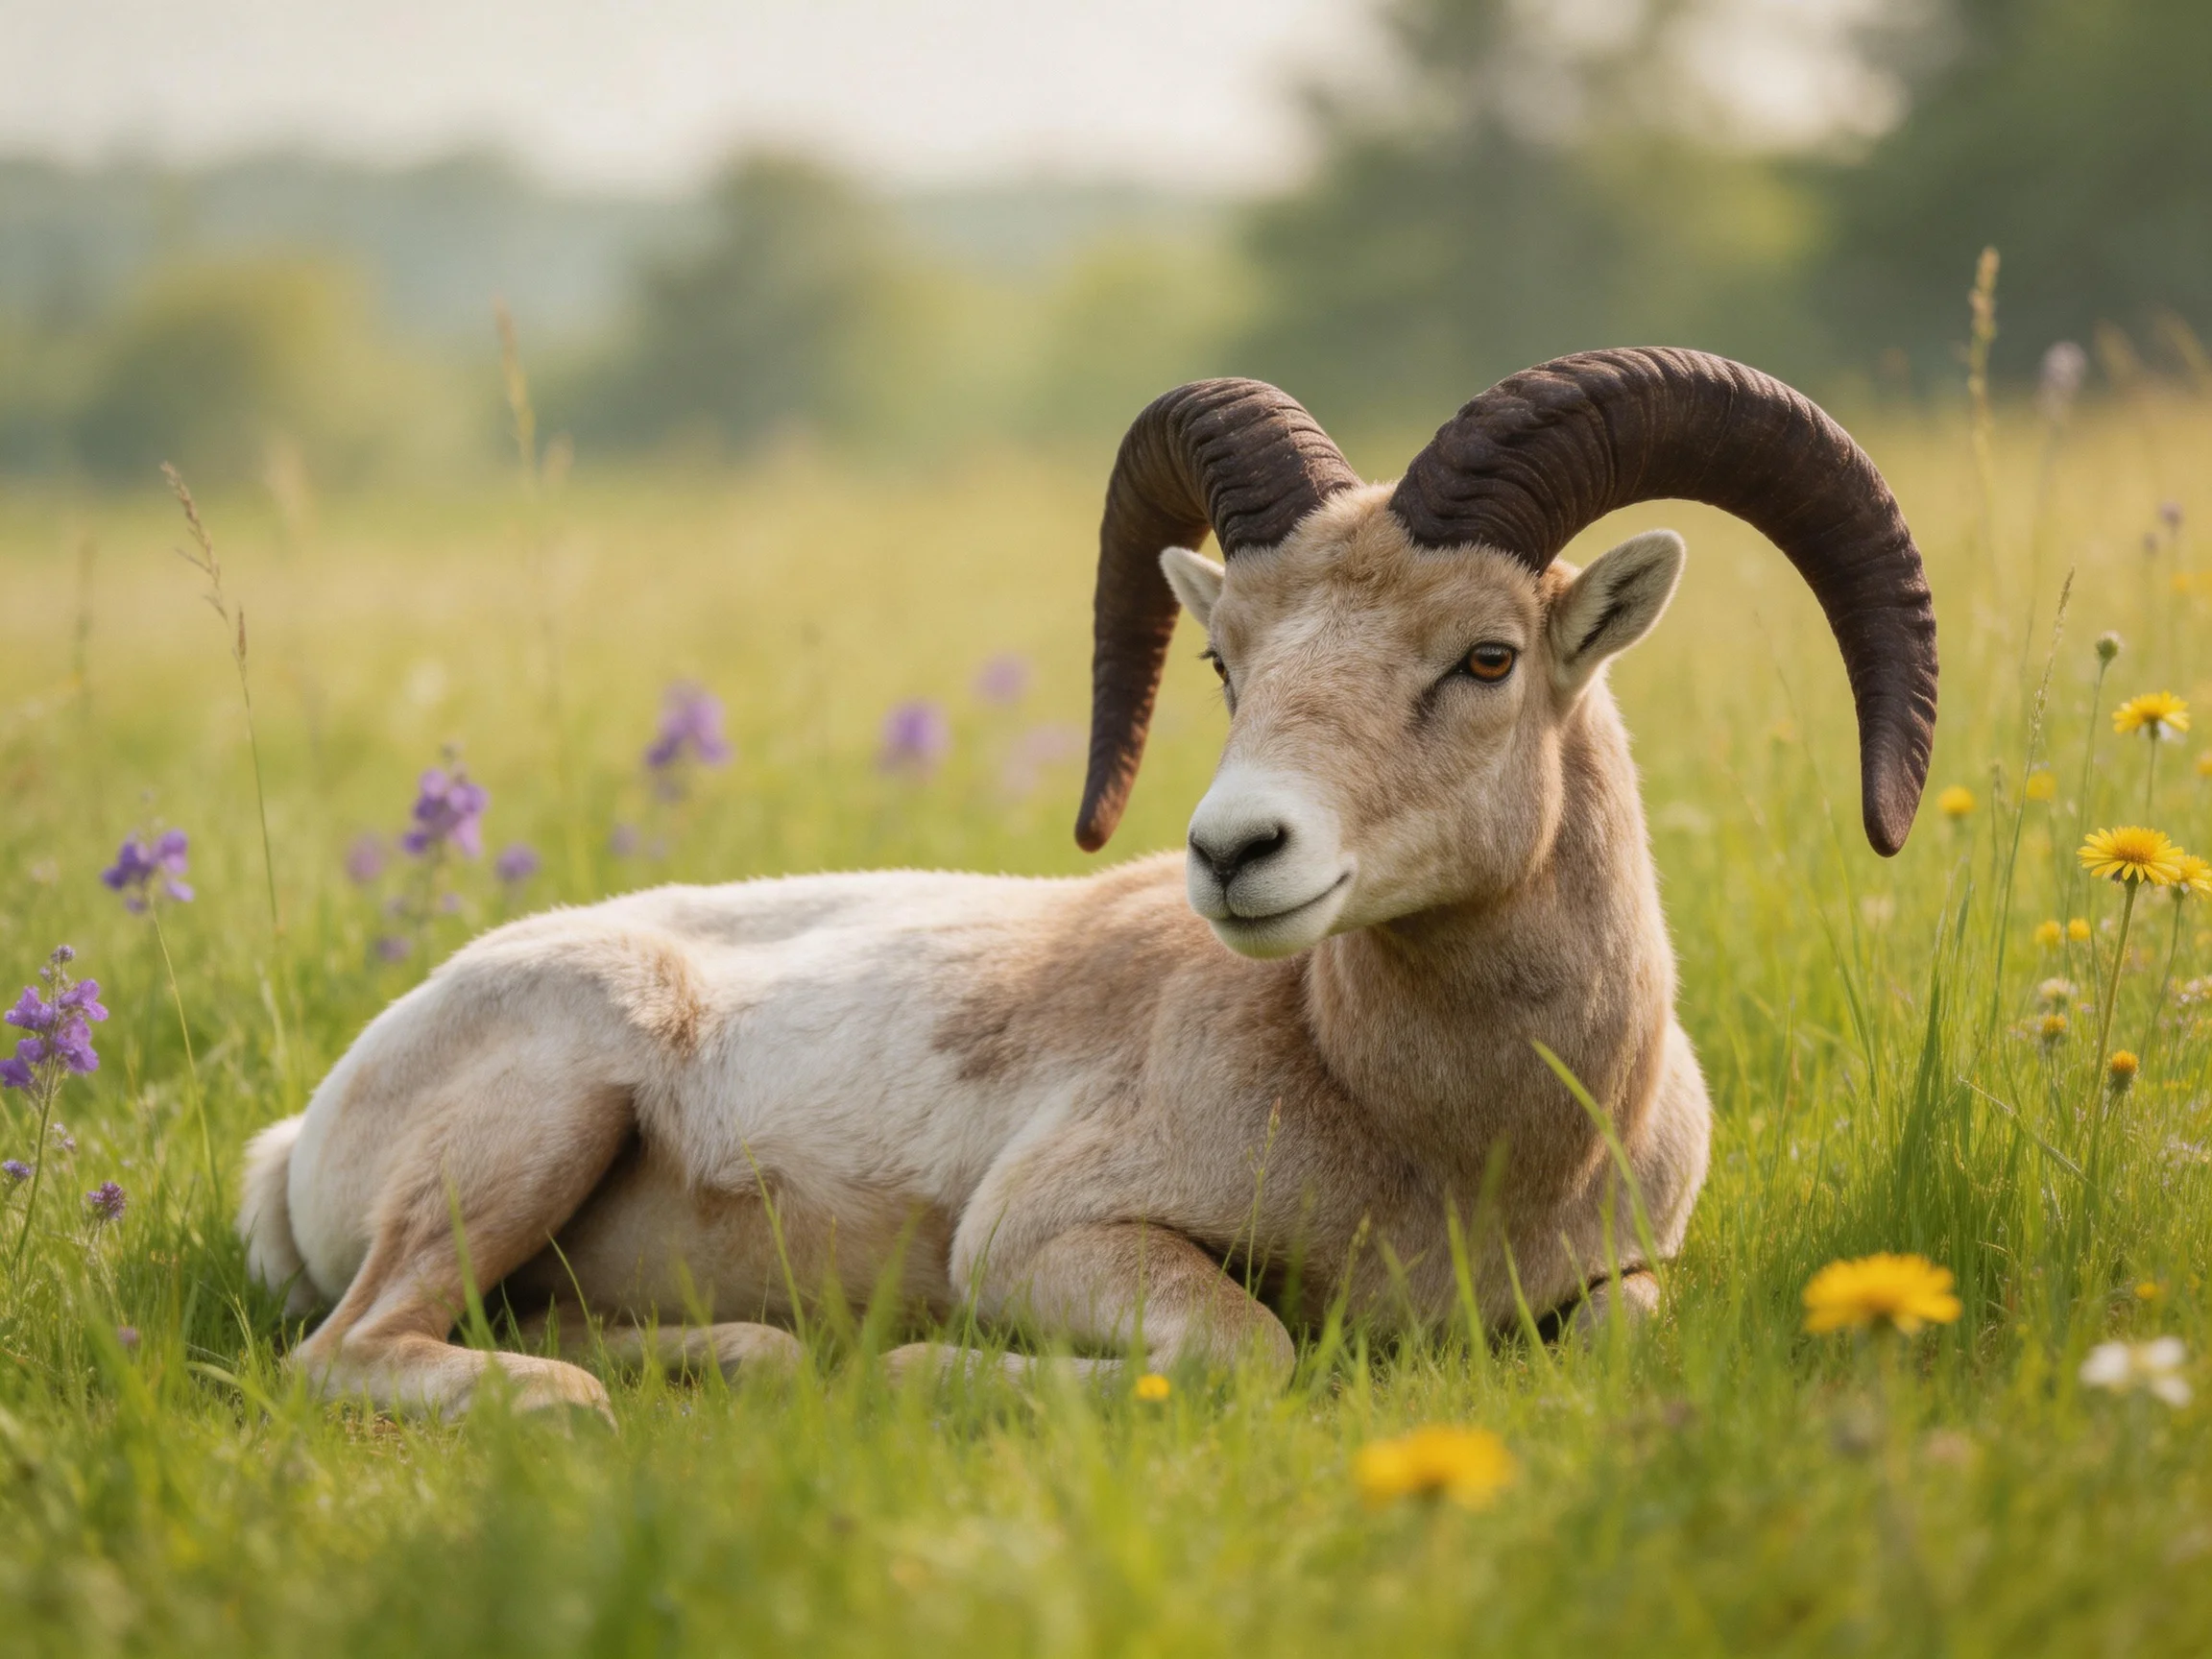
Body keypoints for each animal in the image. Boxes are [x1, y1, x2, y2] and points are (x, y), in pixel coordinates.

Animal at [238, 348, 1937, 1416]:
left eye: (1486, 657)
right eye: (1228, 658)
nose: (1237, 854)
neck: (1454, 1154)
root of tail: (304, 1135)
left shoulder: (1627, 1281)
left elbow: (1613, 1342)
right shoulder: (1050, 1240)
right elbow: (1254, 1352)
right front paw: (920, 1375)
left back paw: (746, 1362)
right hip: (533, 1121)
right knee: (356, 1351)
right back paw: (586, 1400)